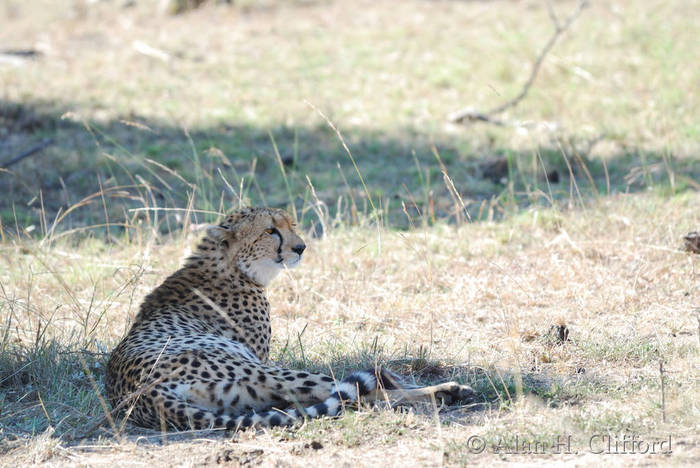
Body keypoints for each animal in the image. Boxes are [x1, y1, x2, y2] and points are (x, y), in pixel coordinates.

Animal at [106, 206, 474, 431]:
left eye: (290, 225)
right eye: (270, 231)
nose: (301, 247)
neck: (231, 266)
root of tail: (138, 396)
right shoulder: (261, 357)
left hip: (242, 396)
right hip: (262, 372)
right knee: (357, 392)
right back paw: (447, 391)